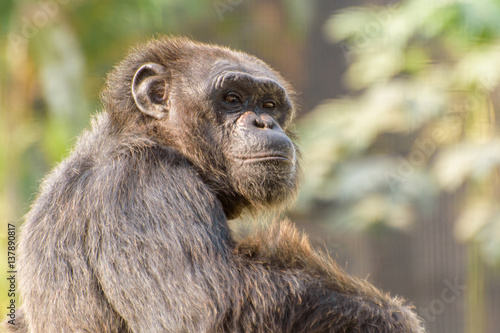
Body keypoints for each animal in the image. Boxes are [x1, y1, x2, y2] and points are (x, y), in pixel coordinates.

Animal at [5, 37, 424, 332]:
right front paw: (392, 318)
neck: (156, 137)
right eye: (232, 98)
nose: (263, 123)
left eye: (269, 104)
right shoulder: (146, 186)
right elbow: (210, 308)